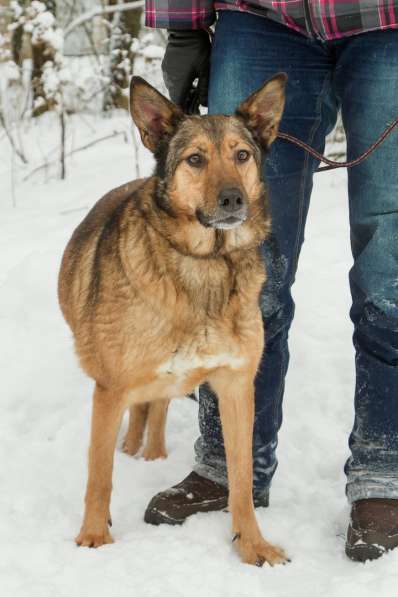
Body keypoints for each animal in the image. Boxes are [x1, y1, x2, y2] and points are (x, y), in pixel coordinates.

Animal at [57, 73, 288, 564]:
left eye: (242, 155)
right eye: (195, 159)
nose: (233, 199)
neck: (206, 264)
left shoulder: (236, 386)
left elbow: (241, 480)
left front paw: (252, 544)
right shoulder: (110, 388)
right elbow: (99, 474)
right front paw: (93, 537)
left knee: (157, 407)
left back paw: (153, 455)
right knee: (134, 419)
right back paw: (134, 451)